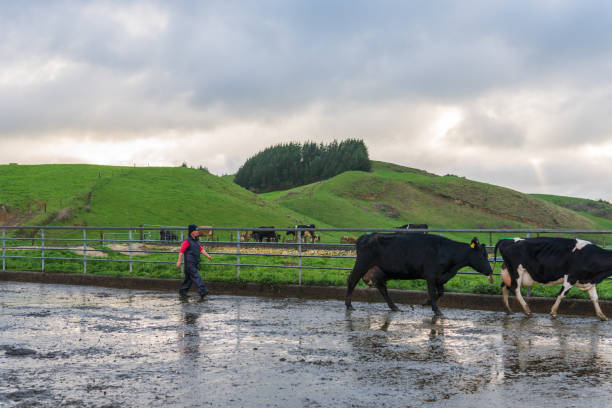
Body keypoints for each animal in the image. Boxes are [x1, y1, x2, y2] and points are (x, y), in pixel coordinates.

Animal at [344, 231, 492, 314]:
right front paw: (436, 310)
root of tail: (365, 236)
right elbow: (432, 292)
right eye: (481, 256)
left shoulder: (440, 277)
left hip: (380, 271)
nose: (490, 270)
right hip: (362, 264)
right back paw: (349, 305)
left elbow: (441, 293)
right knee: (352, 280)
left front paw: (426, 303)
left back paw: (394, 307)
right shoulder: (431, 276)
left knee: (382, 288)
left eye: (486, 255)